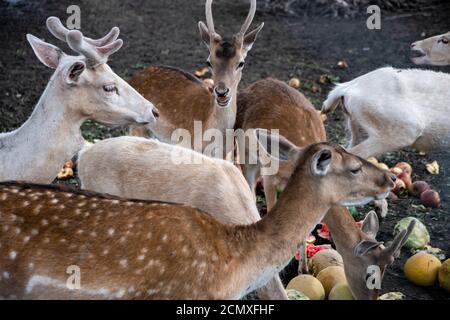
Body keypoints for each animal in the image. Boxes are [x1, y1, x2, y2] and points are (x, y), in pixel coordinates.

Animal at [237, 79, 410, 298]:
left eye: (386, 270)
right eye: (369, 274)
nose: (370, 298)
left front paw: (303, 268)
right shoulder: (270, 178)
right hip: (244, 151)